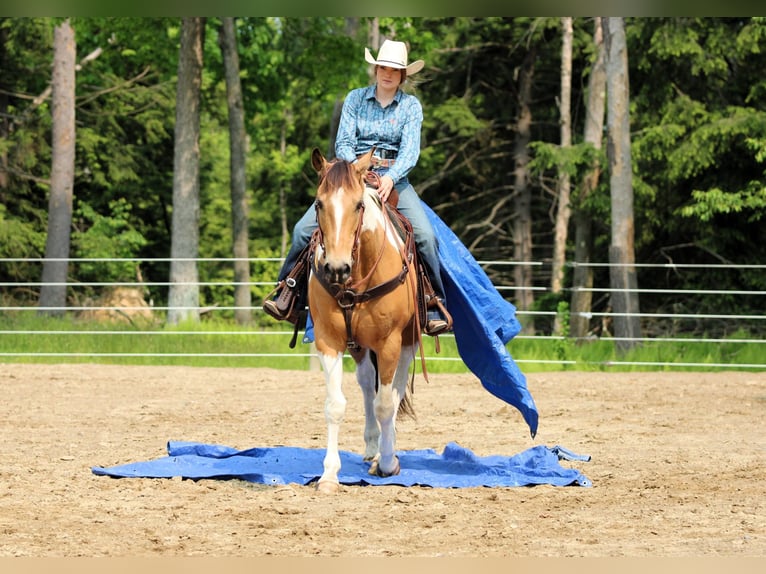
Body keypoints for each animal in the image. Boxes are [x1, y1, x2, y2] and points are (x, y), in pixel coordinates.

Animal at [308, 147, 421, 494]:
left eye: (359, 205)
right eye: (318, 204)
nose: (336, 268)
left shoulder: (390, 344)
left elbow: (386, 403)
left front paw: (387, 464)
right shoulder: (328, 341)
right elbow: (335, 405)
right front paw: (329, 475)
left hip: (407, 343)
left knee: (393, 392)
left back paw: (385, 451)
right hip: (359, 346)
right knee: (367, 382)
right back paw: (372, 445)